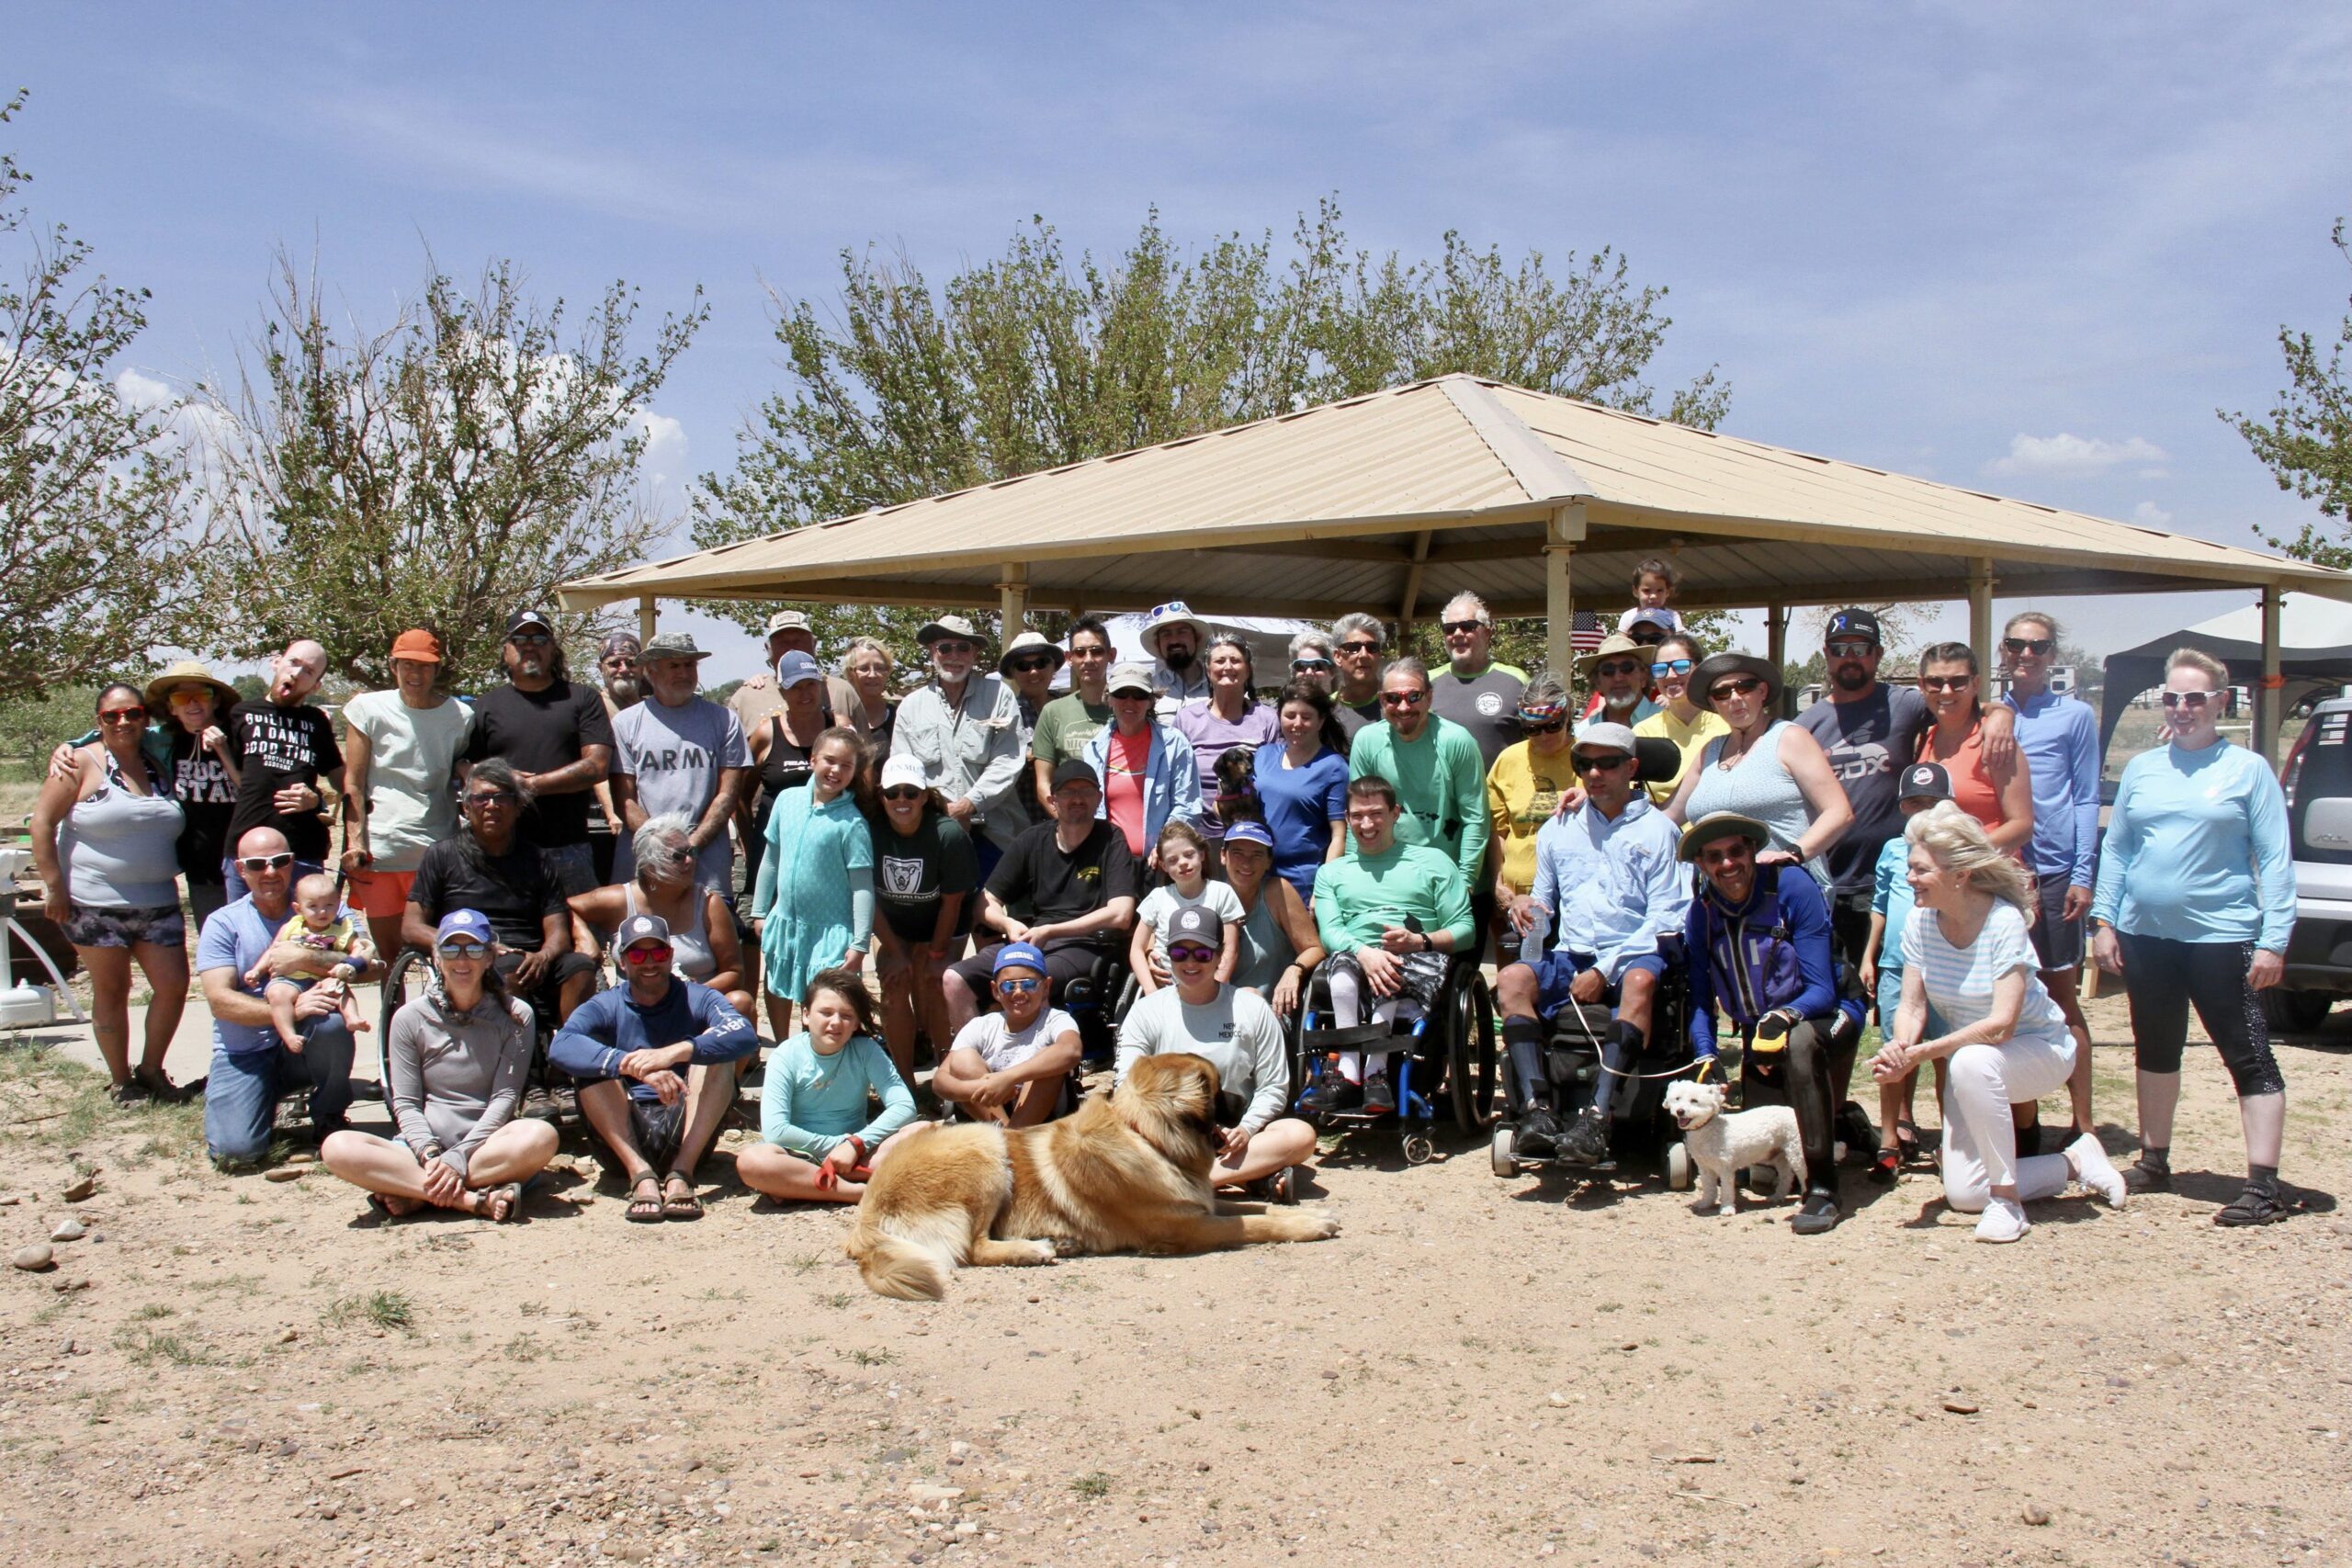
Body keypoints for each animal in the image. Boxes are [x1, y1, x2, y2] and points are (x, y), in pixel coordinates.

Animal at [851, 1062, 1345, 1306]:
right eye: (1217, 1087)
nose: (1251, 1100)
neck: (1143, 1134)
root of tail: (867, 1215)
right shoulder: (1187, 1227)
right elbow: (1256, 1225)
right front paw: (1311, 1226)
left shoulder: (1200, 1205)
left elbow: (1256, 1210)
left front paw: (1304, 1212)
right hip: (983, 1145)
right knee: (973, 1248)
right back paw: (1035, 1250)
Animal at [1665, 1072, 1806, 1222]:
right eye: (1677, 1098)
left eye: (1694, 1101)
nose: (1680, 1111)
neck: (1709, 1129)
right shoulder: (1705, 1167)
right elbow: (1709, 1187)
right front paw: (1705, 1203)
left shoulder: (1725, 1168)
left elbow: (1727, 1190)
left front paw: (1727, 1209)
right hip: (1779, 1155)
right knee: (1787, 1175)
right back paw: (1778, 1196)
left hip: (1797, 1154)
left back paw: (1801, 1201)